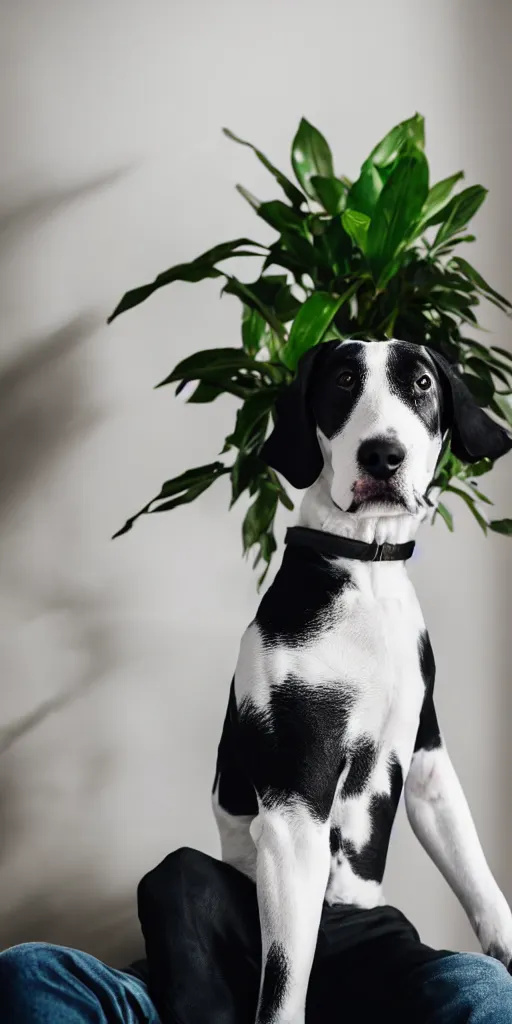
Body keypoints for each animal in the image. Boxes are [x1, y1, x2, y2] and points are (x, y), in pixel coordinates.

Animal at [211, 339, 512, 1019]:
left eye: (422, 382)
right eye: (345, 380)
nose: (383, 454)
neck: (363, 571)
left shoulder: (428, 764)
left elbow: (477, 873)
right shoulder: (296, 804)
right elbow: (285, 979)